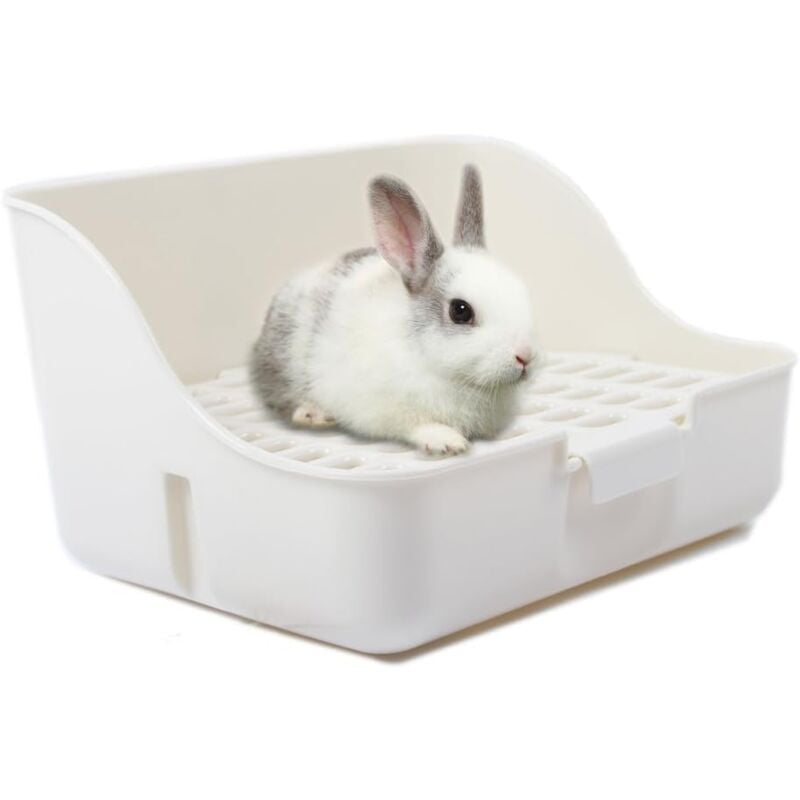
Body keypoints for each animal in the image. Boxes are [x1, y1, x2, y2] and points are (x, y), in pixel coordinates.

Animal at [250, 164, 539, 456]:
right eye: (460, 311)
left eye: (520, 291)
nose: (525, 356)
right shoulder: (387, 409)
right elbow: (417, 424)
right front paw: (448, 442)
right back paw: (313, 414)